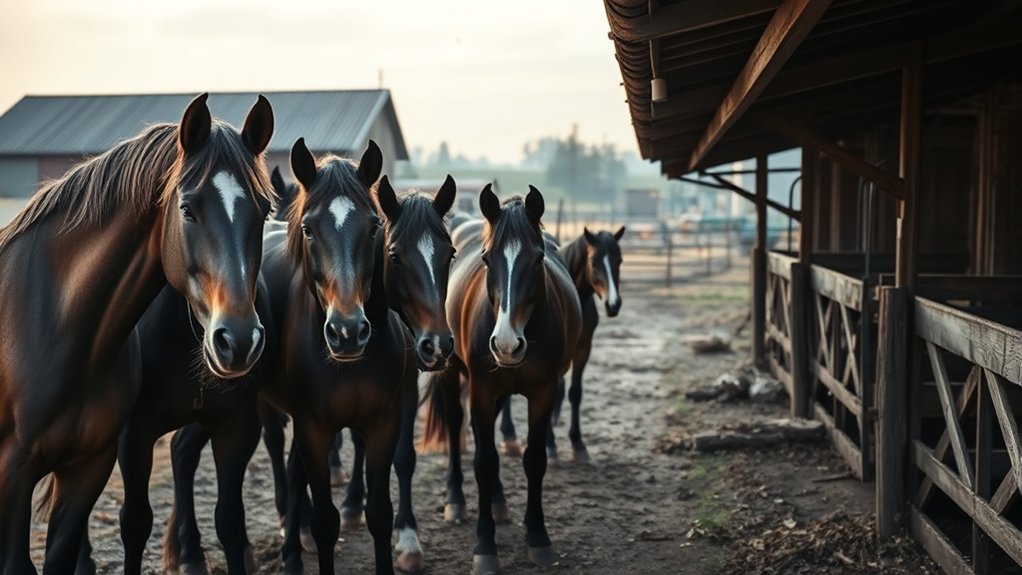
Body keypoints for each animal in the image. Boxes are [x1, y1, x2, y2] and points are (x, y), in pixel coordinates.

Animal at [0, 92, 274, 574]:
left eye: (264, 211)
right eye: (187, 209)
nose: (239, 341)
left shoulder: (231, 425)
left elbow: (230, 522)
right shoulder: (26, 468)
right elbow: (134, 523)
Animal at [258, 138, 450, 574]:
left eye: (373, 227)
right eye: (308, 229)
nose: (347, 332)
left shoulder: (384, 419)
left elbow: (382, 506)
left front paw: (401, 539)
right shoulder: (312, 427)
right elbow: (324, 520)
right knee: (279, 451)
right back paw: (291, 537)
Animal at [421, 185, 582, 575]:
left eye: (537, 260)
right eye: (487, 259)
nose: (507, 344)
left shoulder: (543, 392)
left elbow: (534, 460)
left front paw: (537, 536)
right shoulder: (481, 391)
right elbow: (483, 461)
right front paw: (485, 546)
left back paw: (497, 501)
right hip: (452, 375)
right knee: (455, 428)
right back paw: (456, 500)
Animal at [498, 226, 625, 462]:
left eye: (619, 260)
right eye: (594, 261)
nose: (613, 304)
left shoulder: (583, 348)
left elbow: (575, 392)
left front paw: (578, 444)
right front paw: (550, 443)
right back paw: (509, 436)